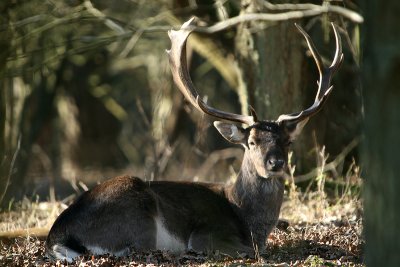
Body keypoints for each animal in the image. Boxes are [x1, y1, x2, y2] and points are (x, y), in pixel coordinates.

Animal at [45, 17, 342, 262]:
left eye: (287, 142)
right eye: (252, 142)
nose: (276, 163)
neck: (247, 221)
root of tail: (57, 237)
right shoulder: (208, 233)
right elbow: (252, 251)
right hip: (138, 218)